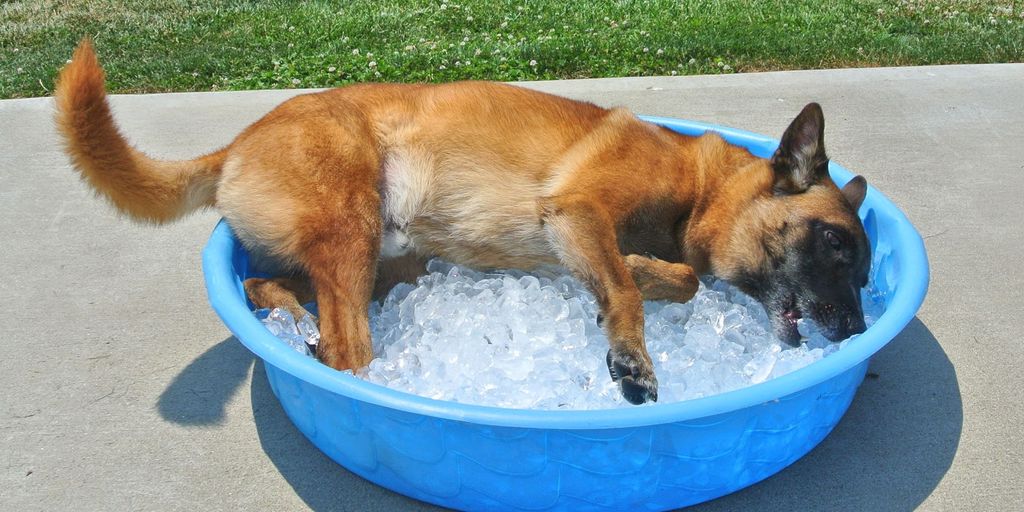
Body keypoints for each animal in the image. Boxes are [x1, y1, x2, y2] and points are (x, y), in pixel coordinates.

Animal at [56, 39, 868, 403]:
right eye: (832, 241)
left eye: (863, 271)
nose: (858, 331)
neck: (699, 188)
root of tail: (237, 144)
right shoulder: (579, 210)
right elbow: (642, 289)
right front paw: (631, 347)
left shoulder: (583, 234)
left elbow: (668, 279)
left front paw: (638, 275)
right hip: (352, 226)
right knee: (347, 350)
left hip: (391, 262)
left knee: (269, 290)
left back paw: (292, 321)